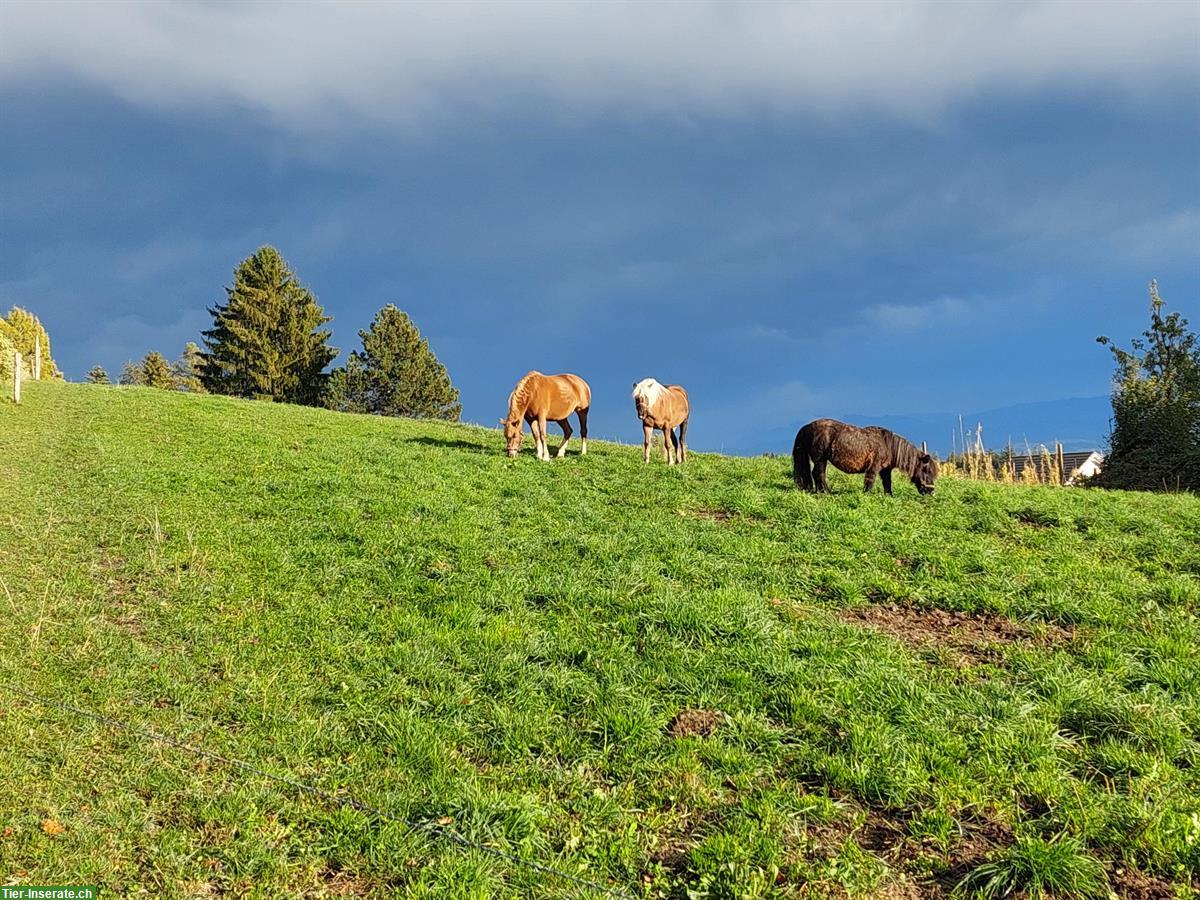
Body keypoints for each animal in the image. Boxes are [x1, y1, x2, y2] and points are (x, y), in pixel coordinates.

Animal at [792, 420, 940, 496]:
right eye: (926, 471)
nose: (931, 491)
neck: (888, 444)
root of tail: (806, 427)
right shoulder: (873, 467)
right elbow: (870, 482)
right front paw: (867, 495)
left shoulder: (885, 470)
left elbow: (887, 483)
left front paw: (889, 497)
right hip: (820, 459)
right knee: (818, 474)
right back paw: (826, 492)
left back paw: (819, 491)